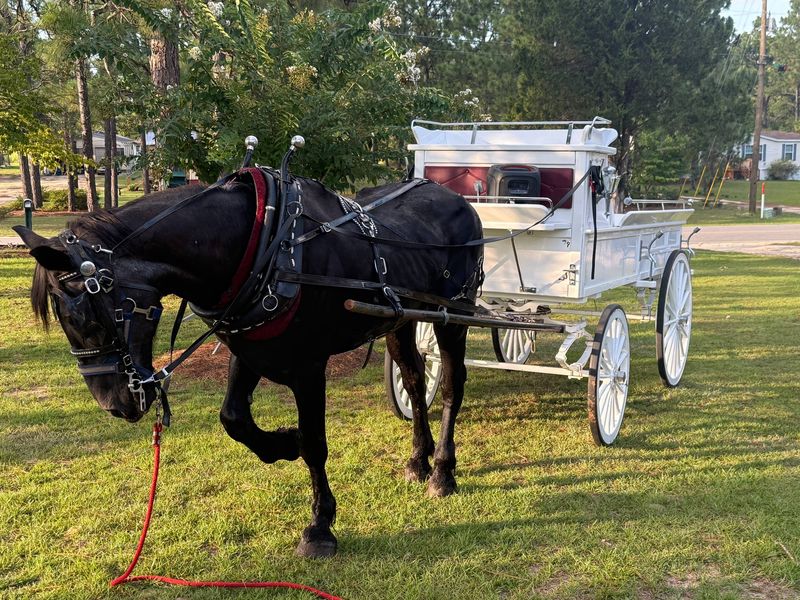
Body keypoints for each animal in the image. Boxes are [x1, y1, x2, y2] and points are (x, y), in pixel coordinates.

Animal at [14, 171, 483, 558]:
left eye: (86, 316)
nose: (115, 406)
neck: (267, 245)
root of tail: (455, 198)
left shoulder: (309, 365)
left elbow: (315, 443)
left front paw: (319, 526)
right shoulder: (247, 348)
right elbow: (234, 418)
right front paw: (283, 444)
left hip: (454, 317)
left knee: (450, 386)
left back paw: (443, 472)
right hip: (399, 321)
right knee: (415, 380)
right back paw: (418, 460)